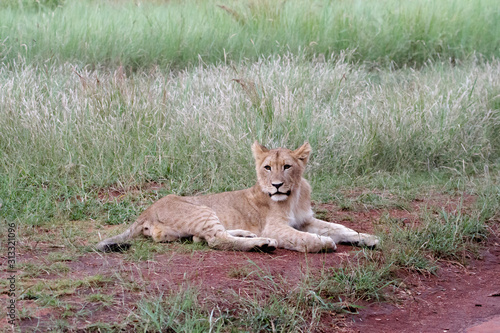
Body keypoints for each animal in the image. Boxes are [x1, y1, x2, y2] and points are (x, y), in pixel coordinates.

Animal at [96, 140, 378, 252]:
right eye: (267, 167)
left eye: (287, 166)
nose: (277, 186)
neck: (294, 194)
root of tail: (146, 211)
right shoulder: (276, 227)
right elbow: (305, 237)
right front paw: (323, 242)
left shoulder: (306, 219)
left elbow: (339, 227)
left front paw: (367, 238)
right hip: (202, 210)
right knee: (215, 240)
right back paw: (261, 243)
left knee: (204, 237)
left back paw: (249, 236)